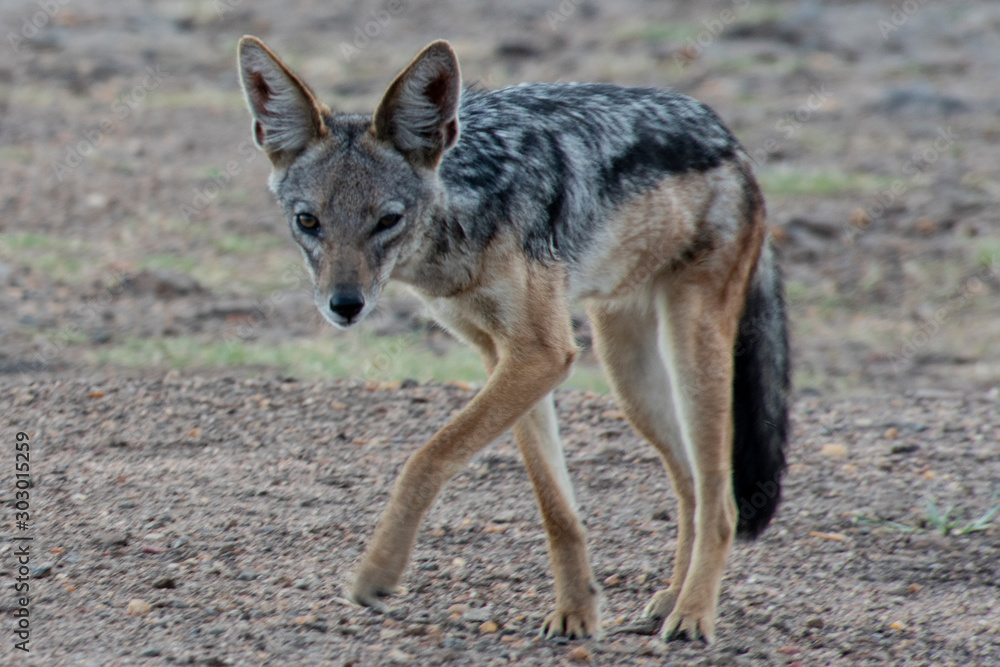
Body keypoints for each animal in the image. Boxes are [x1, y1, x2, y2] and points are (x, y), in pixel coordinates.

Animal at [237, 35, 789, 643]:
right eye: (308, 221)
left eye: (388, 220)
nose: (345, 305)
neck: (463, 224)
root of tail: (730, 139)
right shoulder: (506, 356)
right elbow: (557, 508)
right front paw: (577, 612)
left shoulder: (542, 355)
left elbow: (426, 459)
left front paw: (377, 572)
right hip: (628, 375)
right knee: (690, 485)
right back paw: (669, 599)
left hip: (691, 357)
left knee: (722, 502)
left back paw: (692, 613)